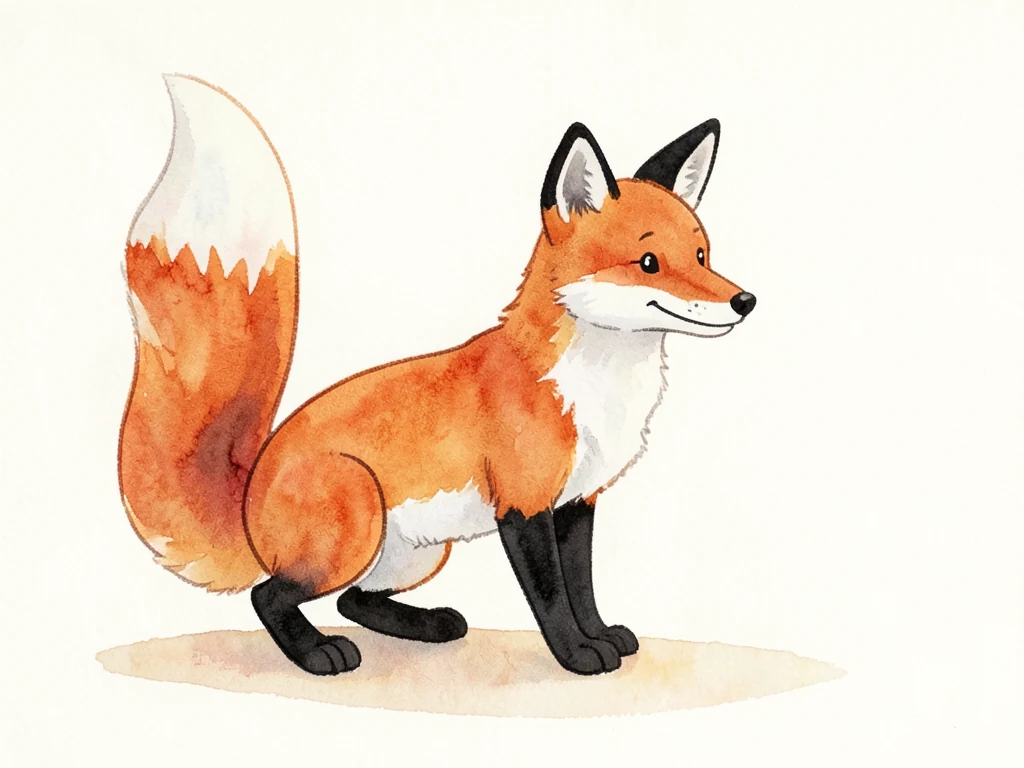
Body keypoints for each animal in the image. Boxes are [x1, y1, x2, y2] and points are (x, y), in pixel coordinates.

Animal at [119, 75, 756, 677]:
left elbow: (583, 587)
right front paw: (578, 655)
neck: (594, 390)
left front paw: (600, 635)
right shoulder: (524, 506)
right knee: (269, 595)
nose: (745, 301)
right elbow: (552, 597)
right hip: (356, 523)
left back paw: (427, 625)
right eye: (648, 263)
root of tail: (249, 496)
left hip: (418, 554)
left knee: (352, 600)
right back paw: (318, 653)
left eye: (702, 256)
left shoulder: (579, 500)